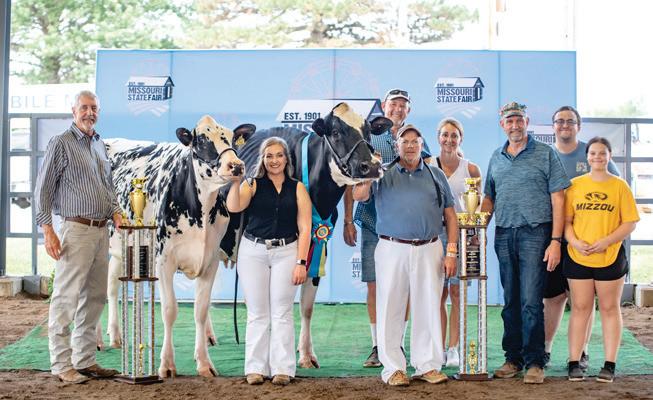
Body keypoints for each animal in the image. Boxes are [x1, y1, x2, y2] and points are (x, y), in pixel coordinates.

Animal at [100, 115, 255, 378]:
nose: (236, 166)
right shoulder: (164, 262)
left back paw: (116, 336)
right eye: (201, 140)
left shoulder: (210, 261)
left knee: (110, 285)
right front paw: (166, 365)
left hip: (120, 249)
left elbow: (200, 310)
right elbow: (170, 310)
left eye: (232, 138)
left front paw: (204, 362)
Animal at [220, 102, 392, 369]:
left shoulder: (319, 246)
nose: (371, 166)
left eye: (368, 131)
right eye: (336, 132)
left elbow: (307, 307)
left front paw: (306, 354)